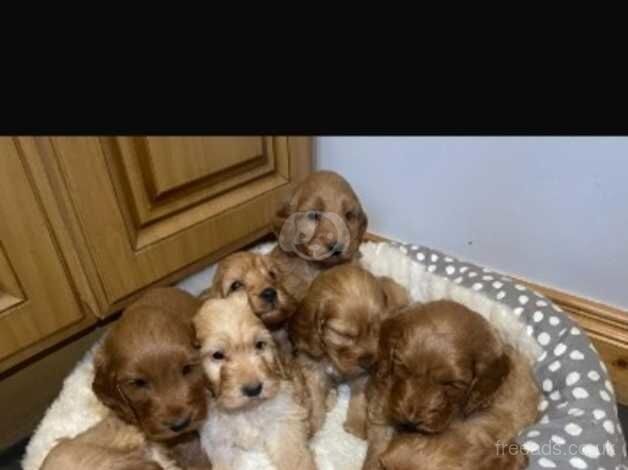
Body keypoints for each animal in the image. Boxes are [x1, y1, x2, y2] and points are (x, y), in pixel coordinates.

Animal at [288, 264, 410, 440]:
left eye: (378, 330)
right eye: (345, 334)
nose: (369, 362)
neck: (332, 357)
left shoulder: (365, 374)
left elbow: (359, 398)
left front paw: (356, 426)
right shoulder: (313, 368)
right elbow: (315, 397)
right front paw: (314, 424)